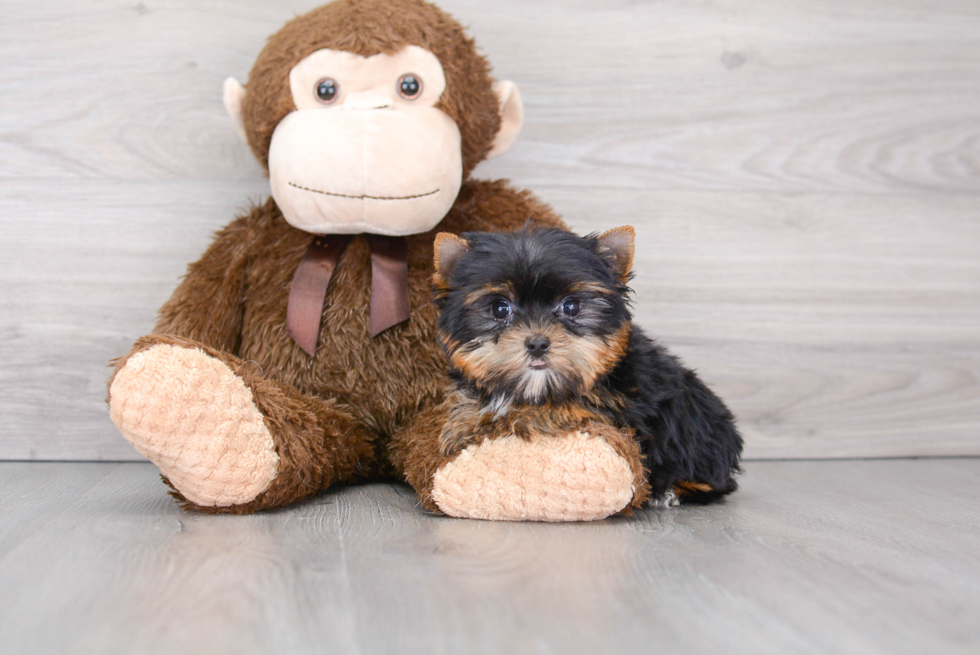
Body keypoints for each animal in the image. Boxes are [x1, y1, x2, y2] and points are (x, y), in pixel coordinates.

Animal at [432, 226, 740, 508]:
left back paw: (670, 492)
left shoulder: (613, 409)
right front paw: (463, 421)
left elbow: (550, 410)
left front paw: (496, 421)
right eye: (500, 308)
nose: (537, 343)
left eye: (571, 307)